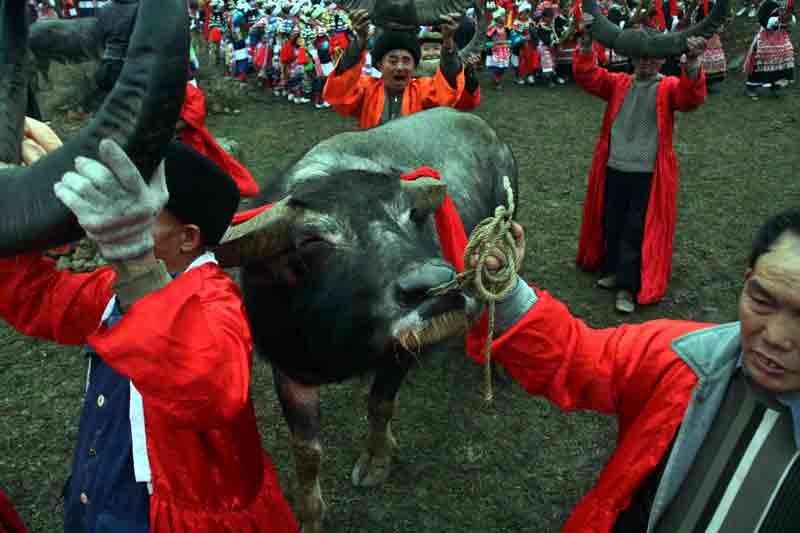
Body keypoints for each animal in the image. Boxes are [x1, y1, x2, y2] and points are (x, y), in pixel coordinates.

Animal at [216, 106, 520, 528]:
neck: (338, 336)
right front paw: (310, 514)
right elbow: (306, 449)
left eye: (411, 216)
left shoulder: (400, 351)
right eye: (312, 240)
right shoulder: (288, 366)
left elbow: (380, 405)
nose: (435, 285)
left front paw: (377, 459)